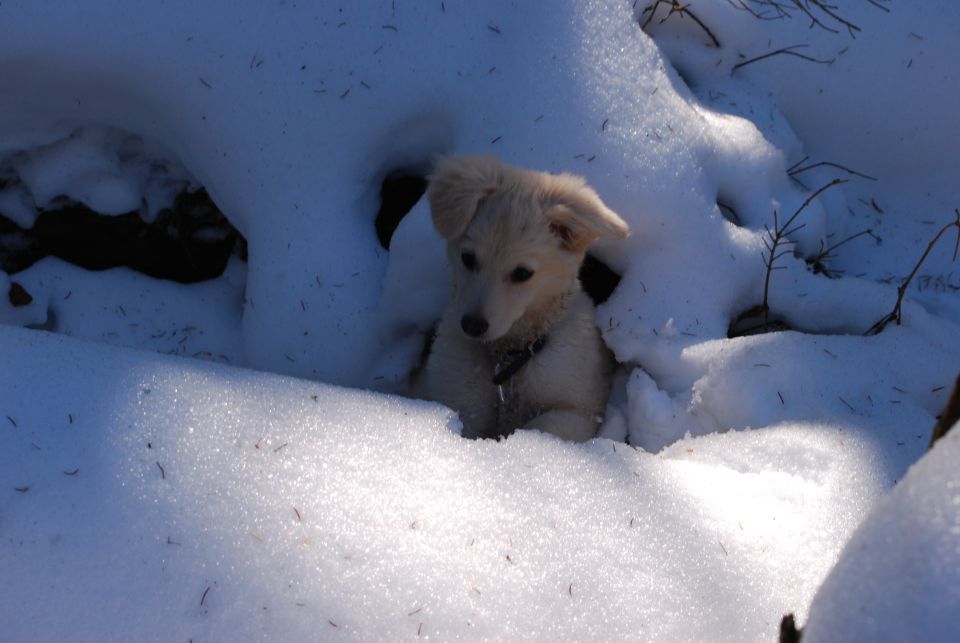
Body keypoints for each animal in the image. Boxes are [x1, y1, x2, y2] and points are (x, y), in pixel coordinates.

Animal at [420, 156, 632, 442]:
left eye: (522, 273)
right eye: (467, 258)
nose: (472, 326)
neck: (508, 361)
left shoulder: (578, 411)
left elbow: (538, 427)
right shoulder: (461, 402)